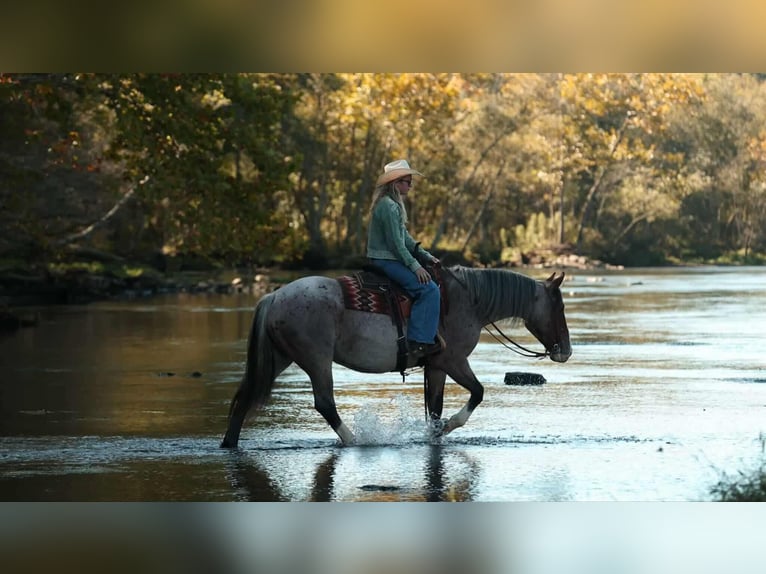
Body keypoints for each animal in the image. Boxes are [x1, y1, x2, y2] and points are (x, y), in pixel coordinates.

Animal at [221, 266, 571, 447]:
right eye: (559, 306)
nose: (565, 351)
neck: (468, 301)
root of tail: (273, 296)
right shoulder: (453, 361)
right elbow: (478, 393)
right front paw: (447, 428)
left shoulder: (437, 366)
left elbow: (435, 407)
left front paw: (434, 434)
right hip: (316, 359)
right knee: (325, 404)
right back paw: (356, 440)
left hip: (281, 357)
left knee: (245, 398)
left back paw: (229, 444)